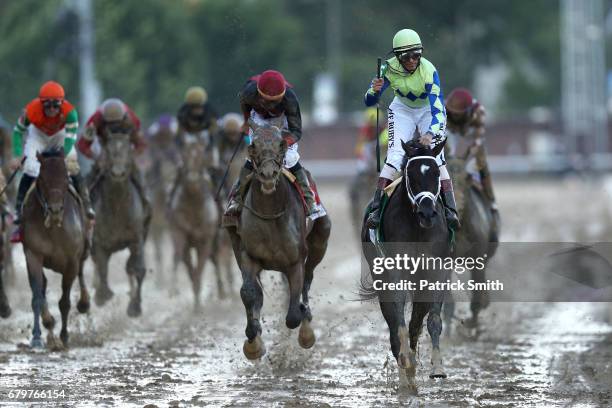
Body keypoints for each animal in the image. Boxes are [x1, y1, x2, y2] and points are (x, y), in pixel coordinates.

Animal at [21, 148, 89, 350]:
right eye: (42, 178)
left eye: (66, 178)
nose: (55, 210)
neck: (53, 229)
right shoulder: (33, 254)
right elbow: (37, 295)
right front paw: (37, 337)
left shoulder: (72, 261)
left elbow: (65, 301)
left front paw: (64, 336)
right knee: (42, 286)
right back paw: (49, 325)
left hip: (83, 250)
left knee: (81, 272)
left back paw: (84, 303)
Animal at [90, 131, 151, 316]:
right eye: (108, 151)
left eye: (128, 149)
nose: (118, 173)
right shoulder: (99, 241)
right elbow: (102, 266)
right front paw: (102, 295)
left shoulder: (136, 238)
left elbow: (138, 268)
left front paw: (135, 306)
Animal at [167, 135, 220, 308]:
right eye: (184, 156)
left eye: (201, 157)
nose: (192, 179)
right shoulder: (179, 233)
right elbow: (179, 258)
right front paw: (173, 289)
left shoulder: (205, 240)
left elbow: (200, 268)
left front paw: (198, 305)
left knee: (214, 260)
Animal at [225, 122, 330, 358]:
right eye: (253, 145)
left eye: (281, 145)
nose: (267, 174)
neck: (270, 214)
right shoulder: (248, 255)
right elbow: (249, 292)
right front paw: (253, 341)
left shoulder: (295, 261)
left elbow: (293, 315)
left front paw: (305, 332)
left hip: (320, 241)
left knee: (308, 280)